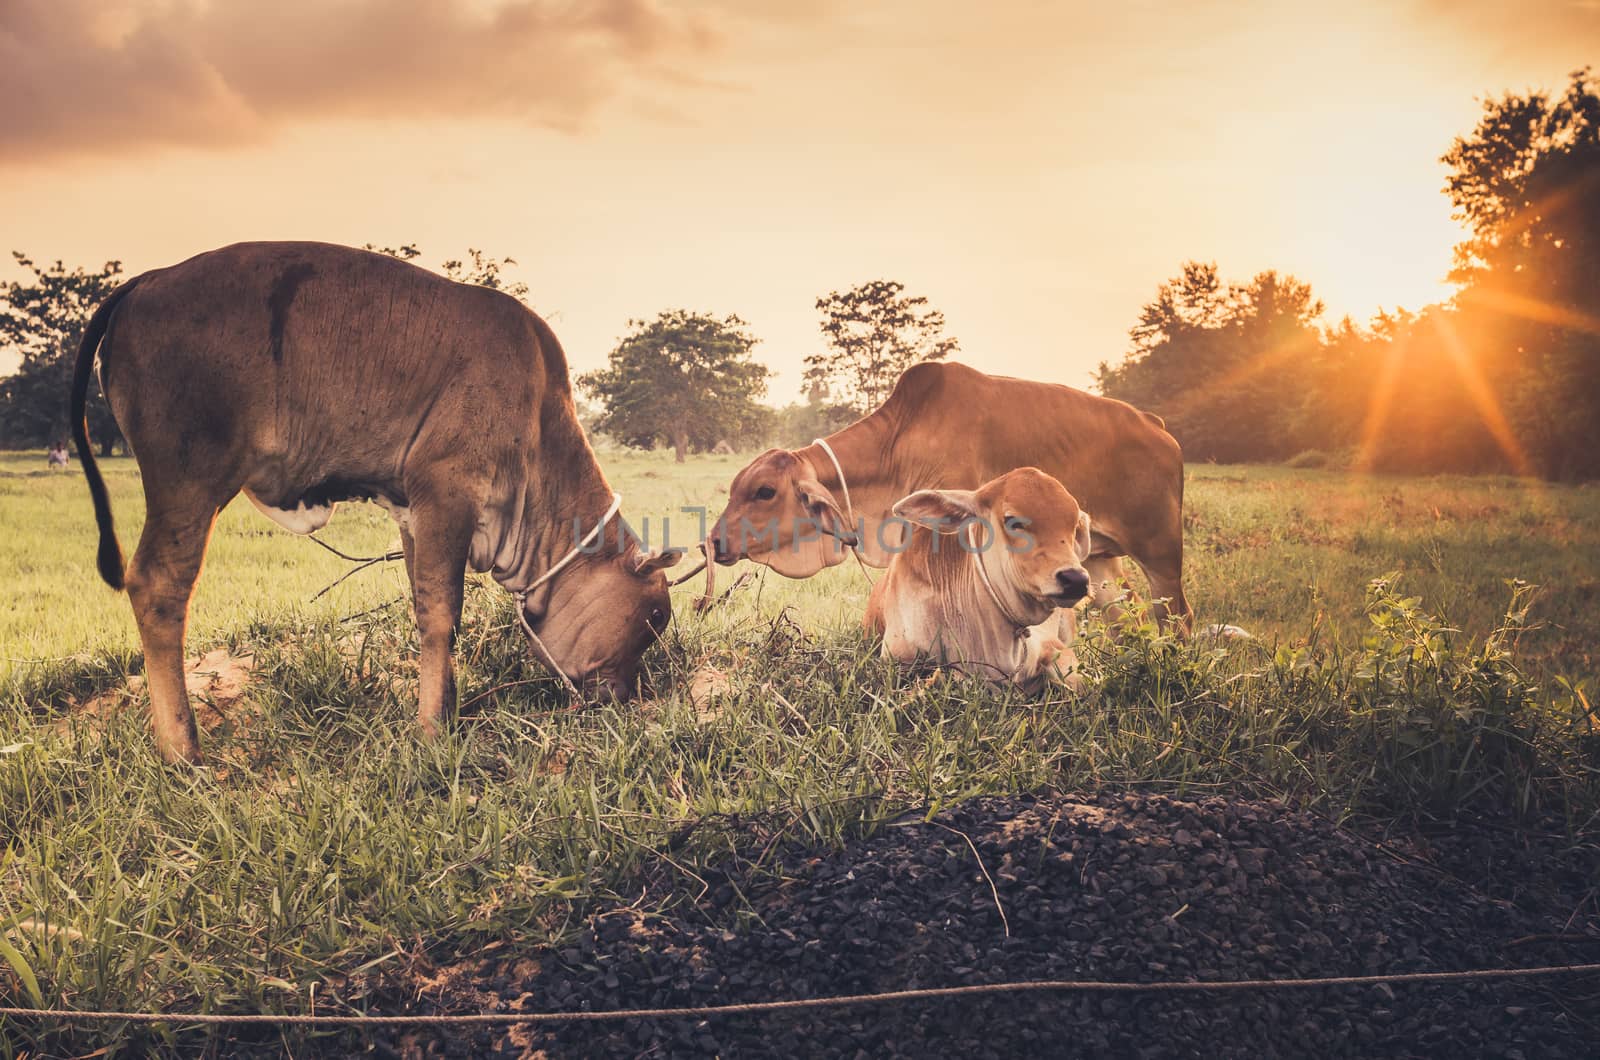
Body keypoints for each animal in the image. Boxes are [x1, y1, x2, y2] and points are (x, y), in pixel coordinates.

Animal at [73, 244, 675, 768]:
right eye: (653, 618)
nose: (624, 695)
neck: (539, 420)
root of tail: (150, 279)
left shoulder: (414, 511)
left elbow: (426, 604)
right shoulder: (448, 491)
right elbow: (442, 616)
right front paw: (432, 730)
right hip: (189, 479)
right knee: (158, 585)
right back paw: (182, 750)